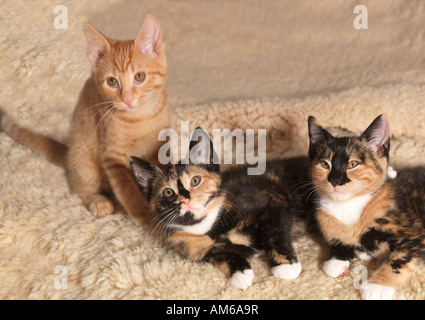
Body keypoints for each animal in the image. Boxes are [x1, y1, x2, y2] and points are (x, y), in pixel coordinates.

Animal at [0, 14, 169, 225]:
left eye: (139, 76)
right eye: (112, 81)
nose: (127, 99)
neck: (141, 117)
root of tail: (69, 152)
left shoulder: (159, 146)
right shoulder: (112, 155)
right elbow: (127, 187)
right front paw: (143, 213)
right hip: (84, 159)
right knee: (80, 188)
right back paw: (97, 200)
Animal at [129, 127, 308, 290]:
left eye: (195, 181)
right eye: (168, 192)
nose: (185, 199)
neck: (206, 225)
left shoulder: (274, 202)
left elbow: (274, 234)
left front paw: (285, 266)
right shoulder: (196, 249)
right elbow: (220, 256)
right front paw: (240, 273)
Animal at [306, 115, 424, 300]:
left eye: (352, 164)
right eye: (325, 165)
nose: (335, 180)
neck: (347, 207)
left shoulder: (416, 234)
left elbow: (401, 258)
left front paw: (377, 285)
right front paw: (337, 260)